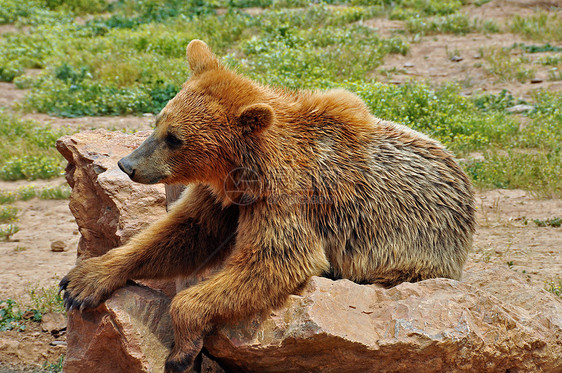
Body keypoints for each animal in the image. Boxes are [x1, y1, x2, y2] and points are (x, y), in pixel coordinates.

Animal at [60, 39, 472, 370]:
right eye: (158, 120)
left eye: (175, 138)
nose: (127, 164)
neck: (244, 172)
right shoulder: (222, 200)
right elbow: (182, 233)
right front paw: (81, 282)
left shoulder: (286, 200)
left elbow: (273, 260)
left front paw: (181, 350)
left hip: (414, 251)